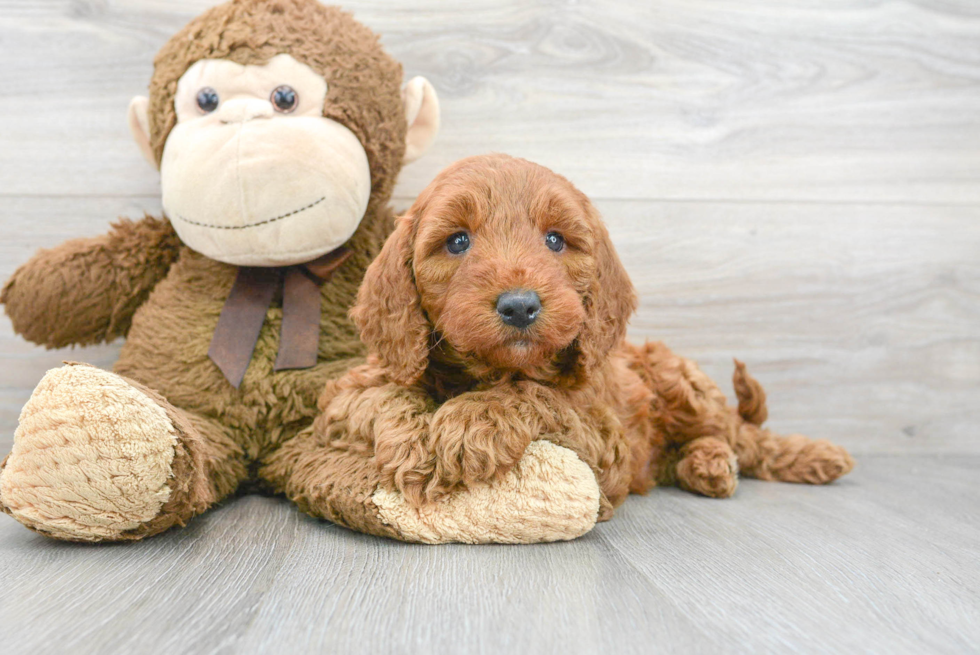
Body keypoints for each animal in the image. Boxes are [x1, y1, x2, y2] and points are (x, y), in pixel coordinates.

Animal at [322, 154, 848, 524]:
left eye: (555, 240)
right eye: (457, 241)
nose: (519, 305)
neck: (491, 370)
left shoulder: (603, 436)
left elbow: (534, 393)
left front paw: (470, 422)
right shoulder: (343, 396)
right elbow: (385, 393)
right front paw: (416, 443)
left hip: (683, 384)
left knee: (741, 434)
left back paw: (807, 456)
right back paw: (707, 465)